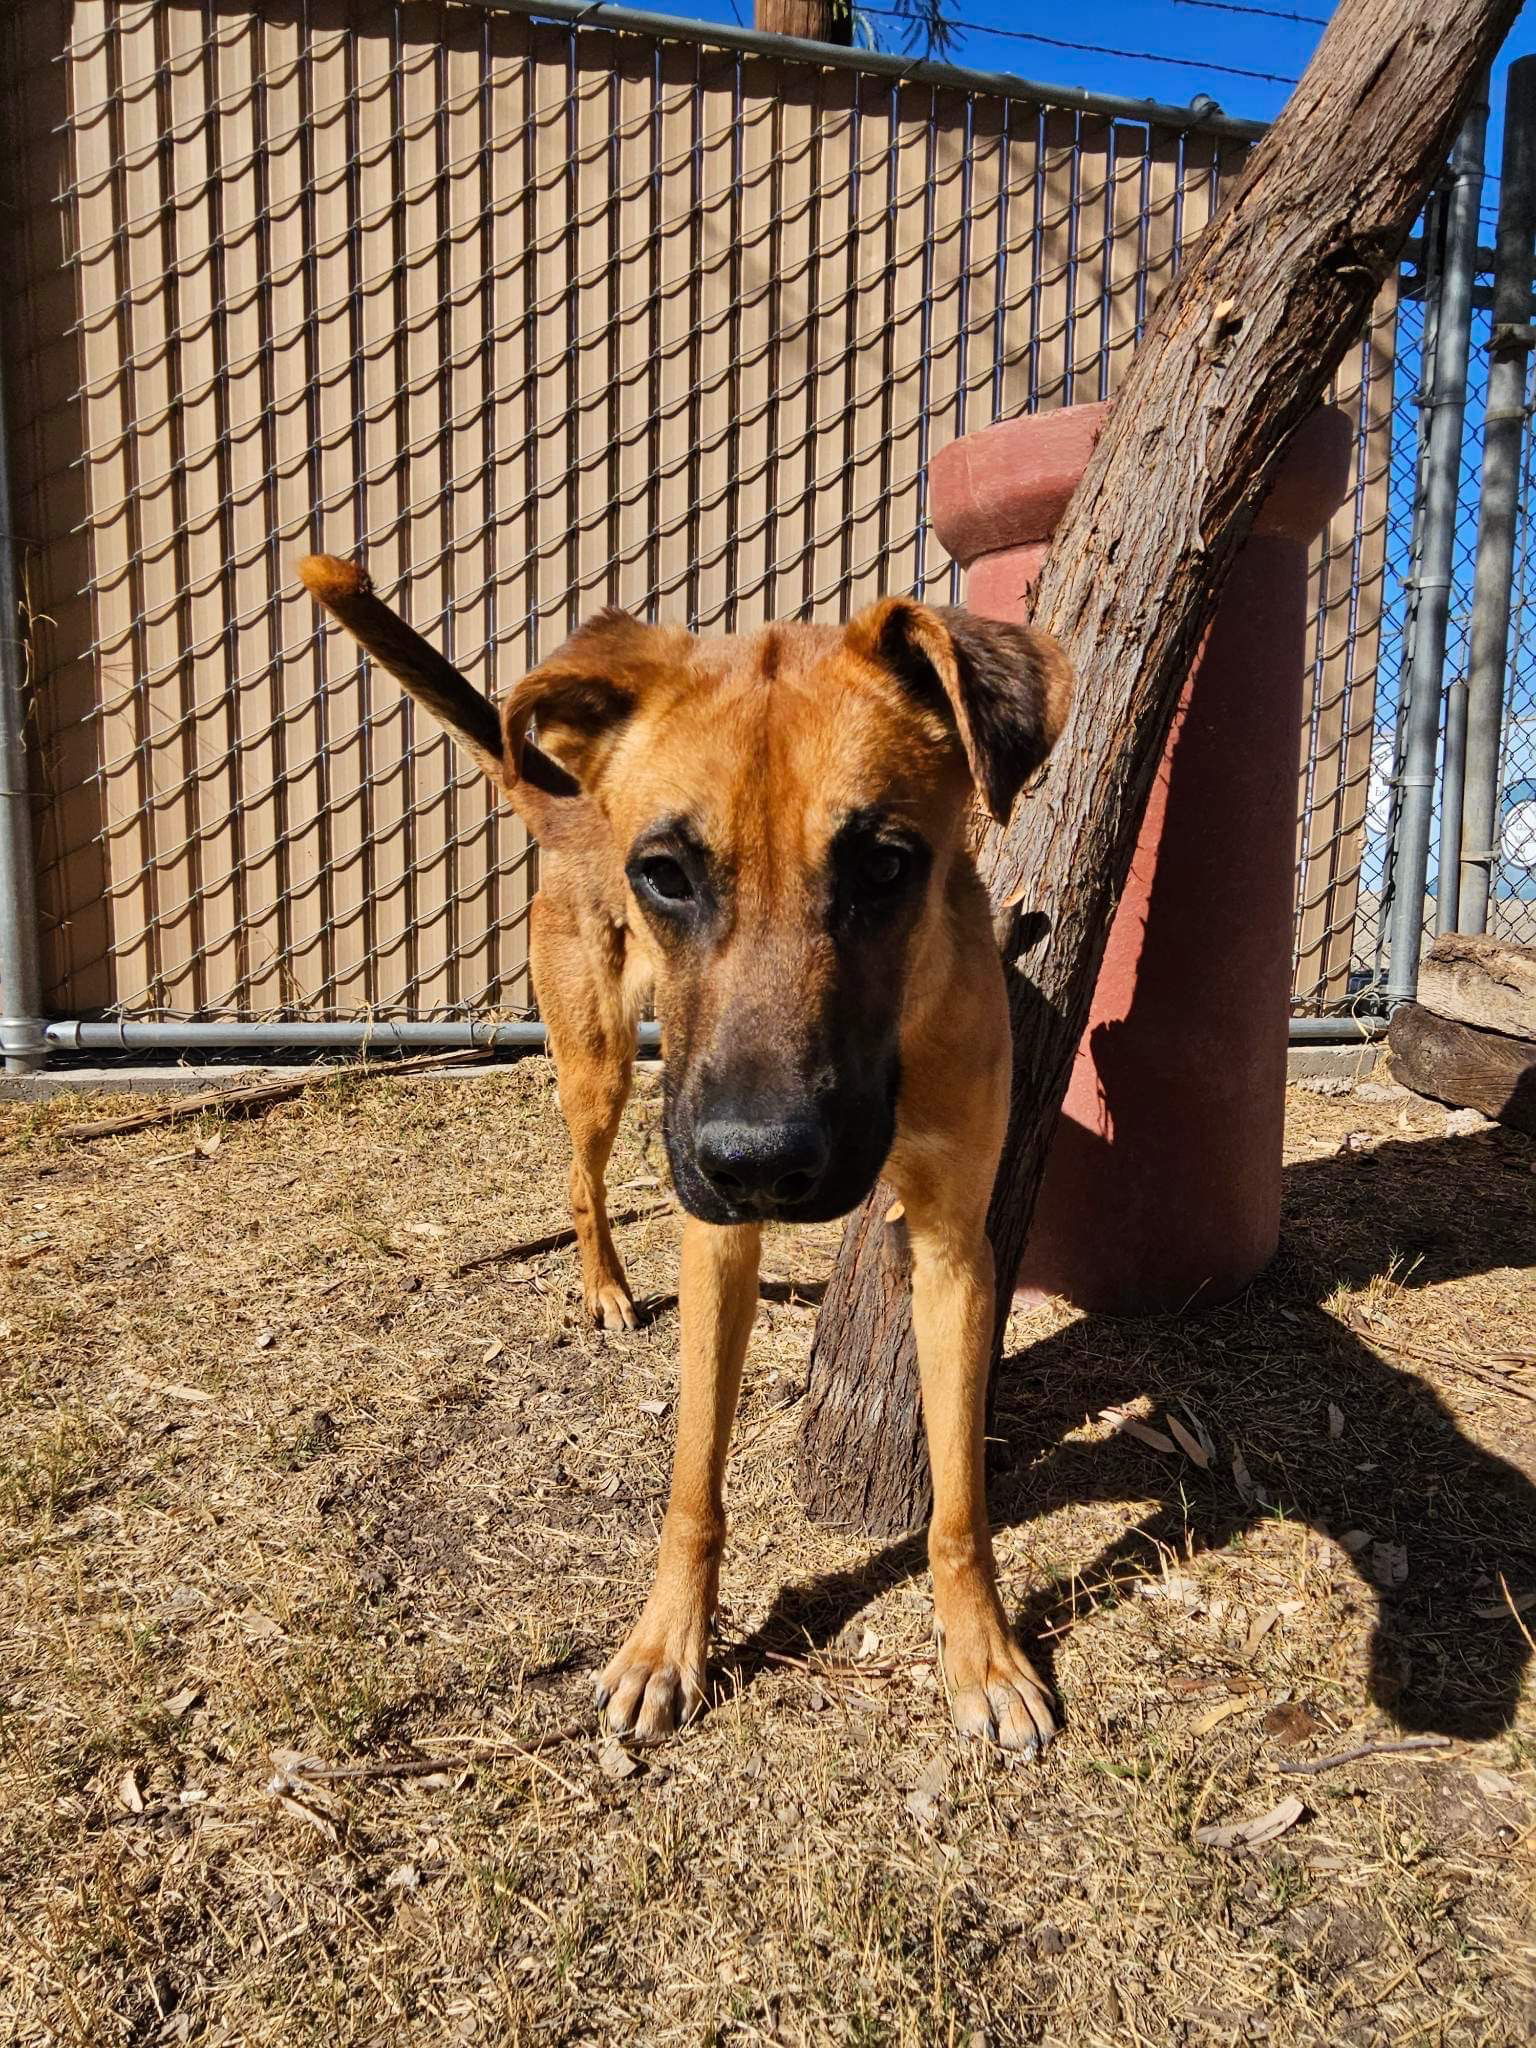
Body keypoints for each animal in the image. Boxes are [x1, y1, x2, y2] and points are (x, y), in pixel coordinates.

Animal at [296, 557, 1073, 1744]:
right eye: (665, 872)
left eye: (885, 866)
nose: (758, 1162)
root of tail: (578, 802)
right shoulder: (716, 1234)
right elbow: (693, 1482)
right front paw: (669, 1643)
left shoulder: (953, 1245)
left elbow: (958, 1503)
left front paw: (981, 1653)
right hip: (602, 1067)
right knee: (581, 1178)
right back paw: (606, 1288)